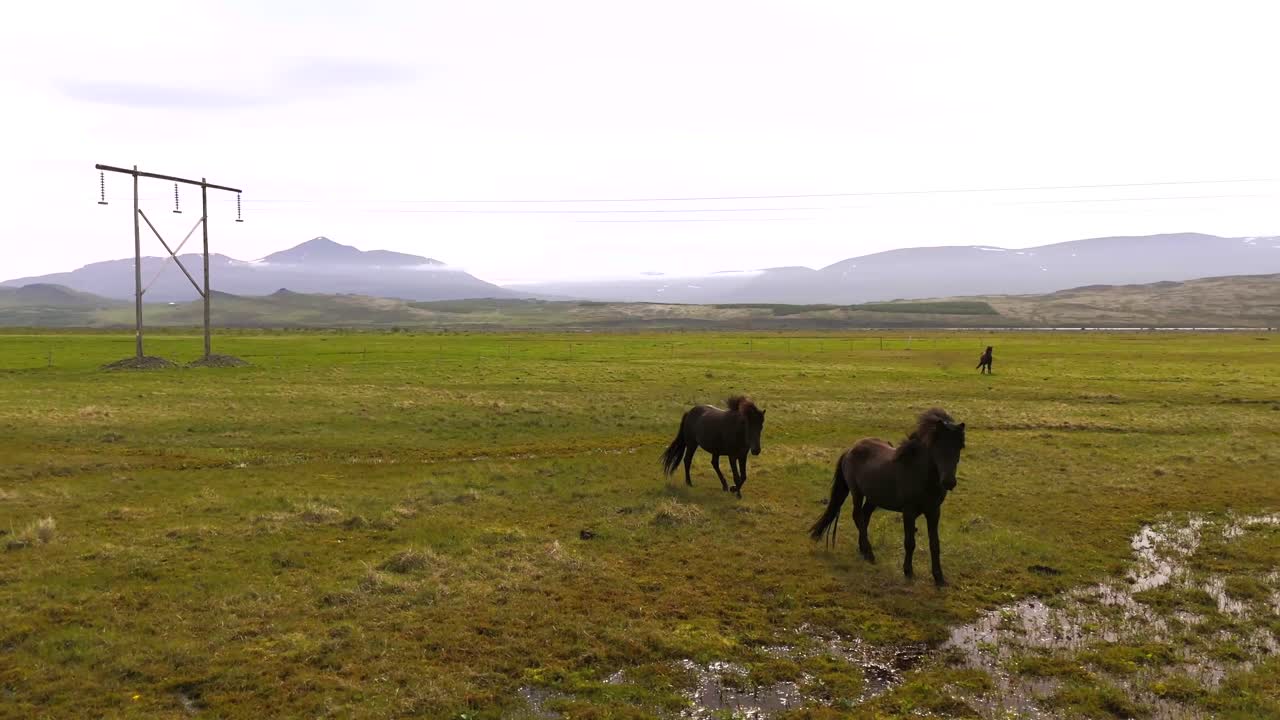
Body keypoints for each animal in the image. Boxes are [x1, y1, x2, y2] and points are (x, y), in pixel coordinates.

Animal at [808, 408, 966, 586]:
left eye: (960, 446)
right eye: (937, 445)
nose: (949, 482)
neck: (920, 474)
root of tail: (850, 449)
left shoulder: (934, 512)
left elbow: (935, 545)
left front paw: (939, 578)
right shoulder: (909, 512)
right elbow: (910, 542)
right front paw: (908, 572)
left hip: (873, 497)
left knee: (863, 517)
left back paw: (864, 551)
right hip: (857, 492)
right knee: (857, 516)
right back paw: (869, 554)